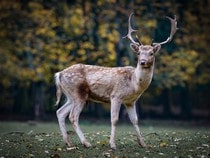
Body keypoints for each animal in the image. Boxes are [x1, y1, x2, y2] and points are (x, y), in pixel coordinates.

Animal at [54, 12, 177, 149]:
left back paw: (69, 143)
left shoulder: (131, 101)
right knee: (73, 116)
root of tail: (59, 74)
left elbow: (135, 120)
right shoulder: (115, 96)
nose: (142, 62)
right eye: (139, 53)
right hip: (78, 93)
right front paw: (112, 144)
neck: (134, 84)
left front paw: (143, 143)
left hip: (70, 96)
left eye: (151, 53)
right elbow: (115, 120)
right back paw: (86, 143)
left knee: (60, 112)